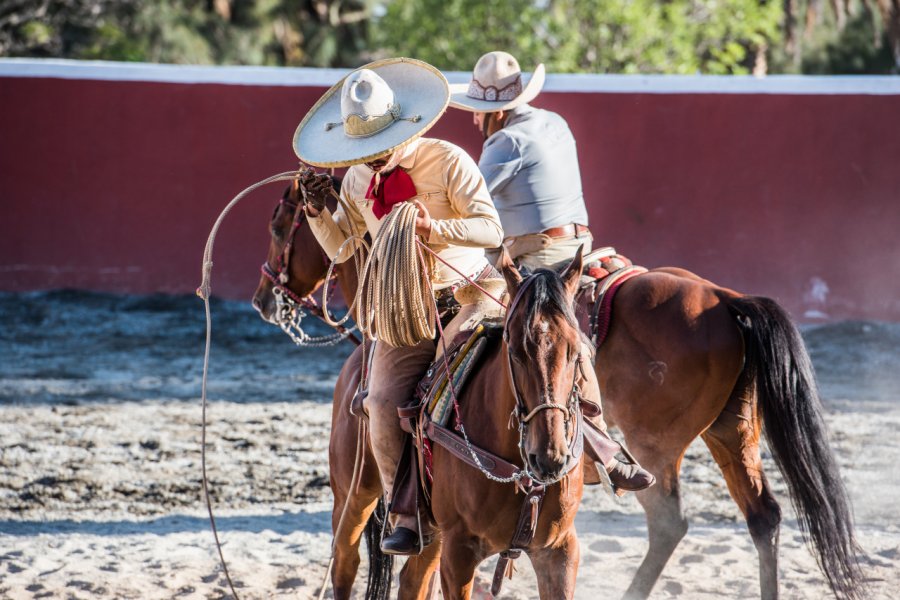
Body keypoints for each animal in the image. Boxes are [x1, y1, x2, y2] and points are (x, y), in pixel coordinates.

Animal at [251, 183, 864, 600]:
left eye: (280, 225)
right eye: (515, 348)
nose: (263, 297)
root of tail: (725, 298)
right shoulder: (455, 545)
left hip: (653, 444)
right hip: (731, 432)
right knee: (764, 517)